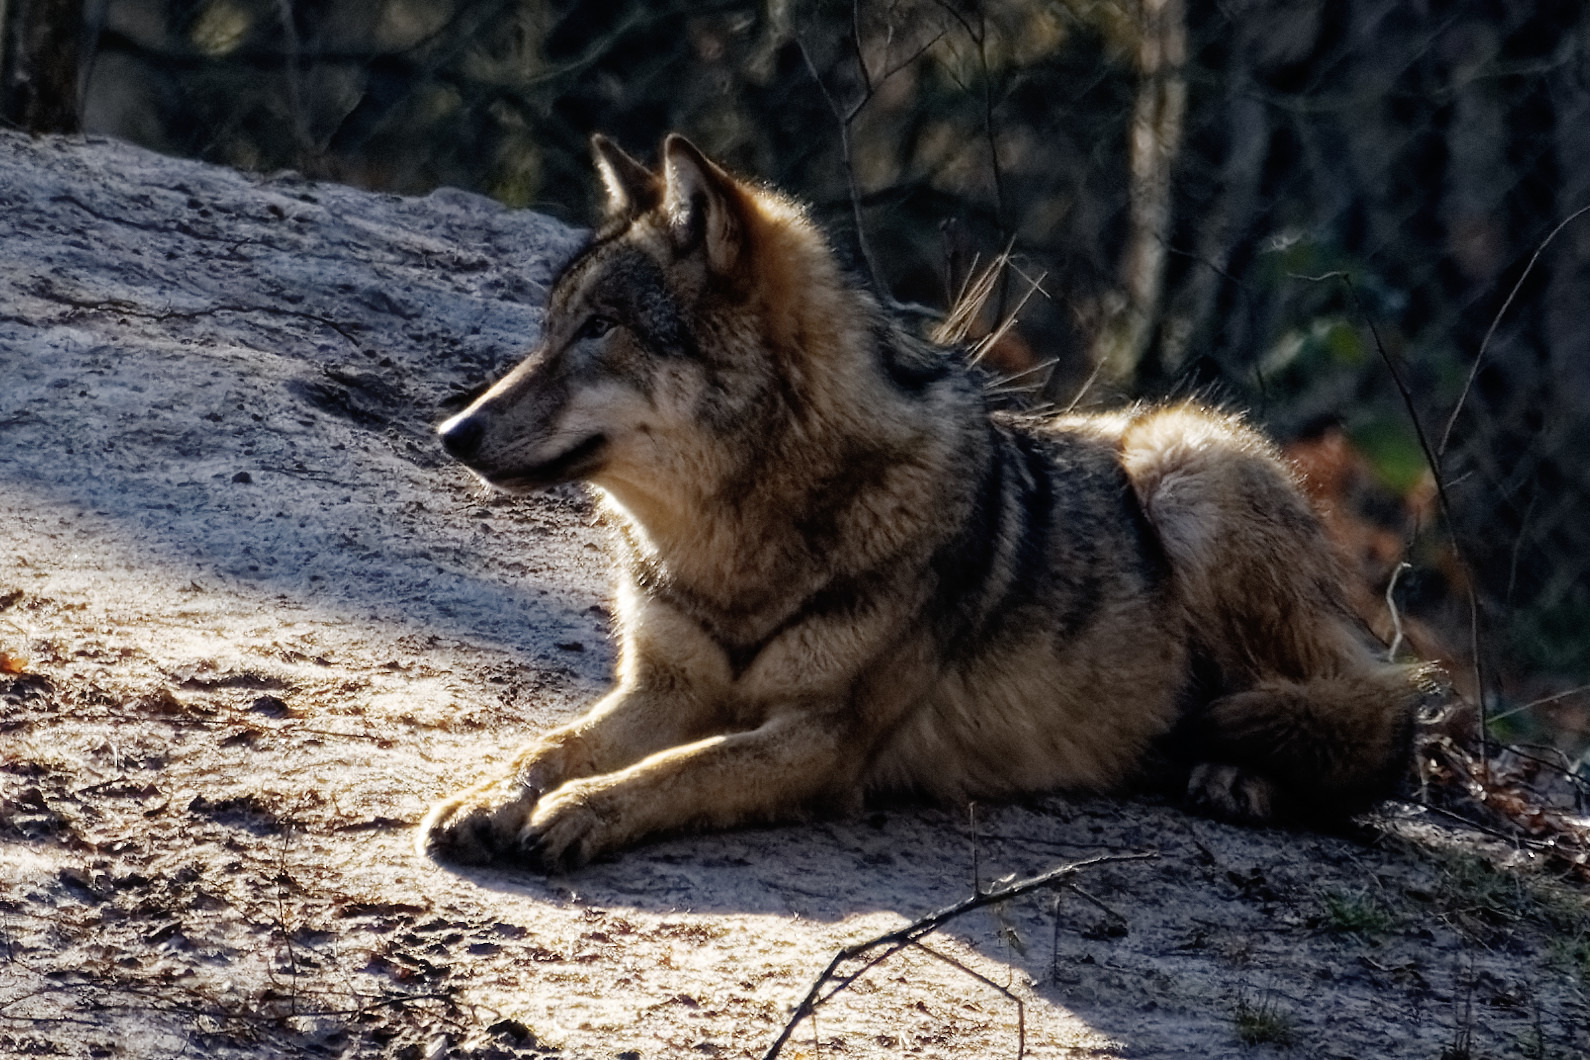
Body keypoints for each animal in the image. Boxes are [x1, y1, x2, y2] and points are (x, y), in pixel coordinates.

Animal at [418, 133, 1437, 870]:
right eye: (551, 329)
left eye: (600, 329)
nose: (452, 432)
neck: (732, 546)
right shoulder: (661, 689)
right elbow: (550, 744)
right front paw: (490, 795)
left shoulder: (826, 737)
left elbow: (683, 768)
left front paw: (580, 812)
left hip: (1181, 462)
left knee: (1376, 718)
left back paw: (1239, 777)